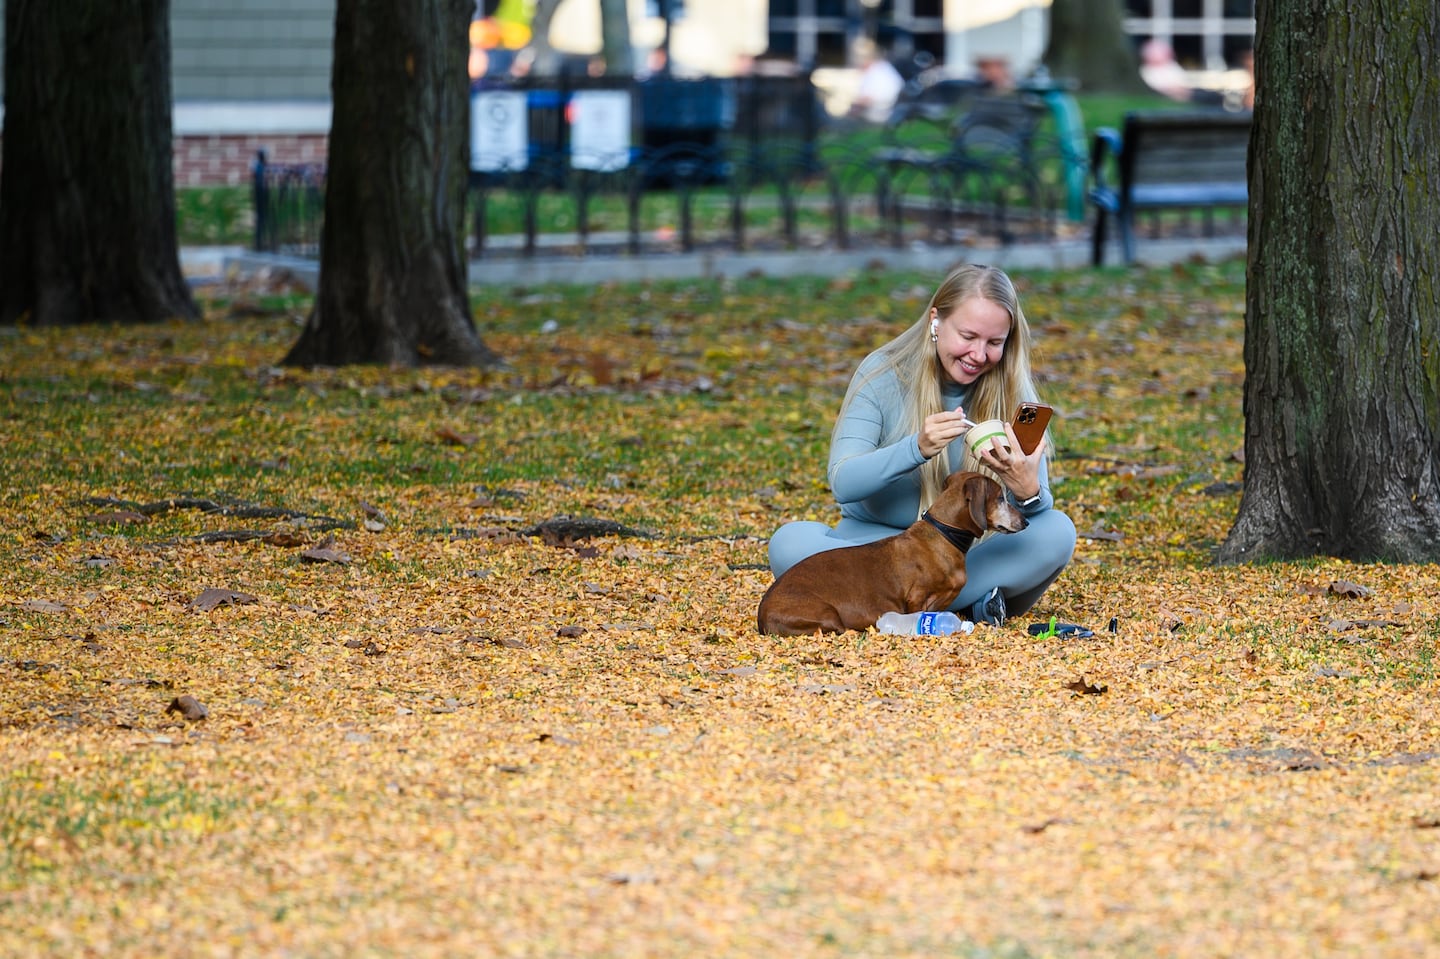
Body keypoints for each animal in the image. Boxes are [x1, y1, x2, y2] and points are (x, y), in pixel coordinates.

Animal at [754, 469, 1025, 633]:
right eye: (1000, 498)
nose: (1025, 522)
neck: (942, 536)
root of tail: (762, 615)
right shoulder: (916, 598)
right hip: (827, 614)